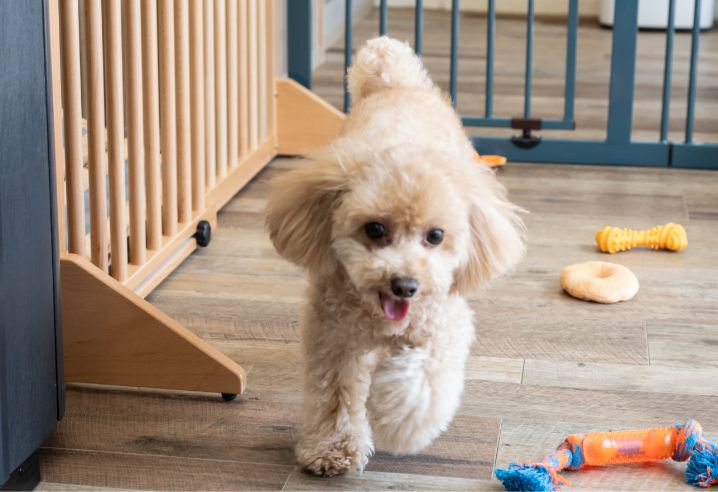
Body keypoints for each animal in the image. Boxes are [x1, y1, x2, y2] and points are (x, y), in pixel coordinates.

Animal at [268, 36, 524, 474]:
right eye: (375, 229)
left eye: (435, 236)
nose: (404, 285)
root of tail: (395, 79)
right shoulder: (333, 339)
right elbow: (334, 396)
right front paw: (332, 448)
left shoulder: (442, 327)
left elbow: (422, 382)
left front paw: (395, 421)